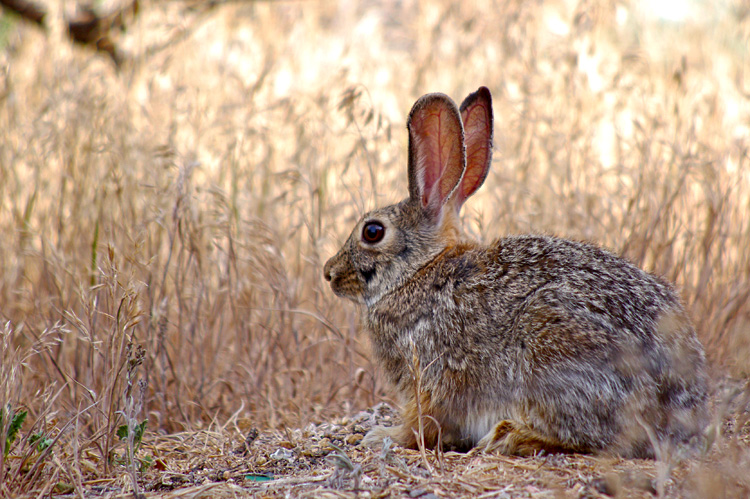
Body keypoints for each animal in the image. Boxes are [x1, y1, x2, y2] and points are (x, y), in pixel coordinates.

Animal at [324, 87, 712, 458]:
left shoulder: (429, 373)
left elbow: (422, 422)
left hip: (551, 351)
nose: (330, 273)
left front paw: (383, 436)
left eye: (372, 232)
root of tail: (679, 409)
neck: (419, 270)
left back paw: (511, 436)